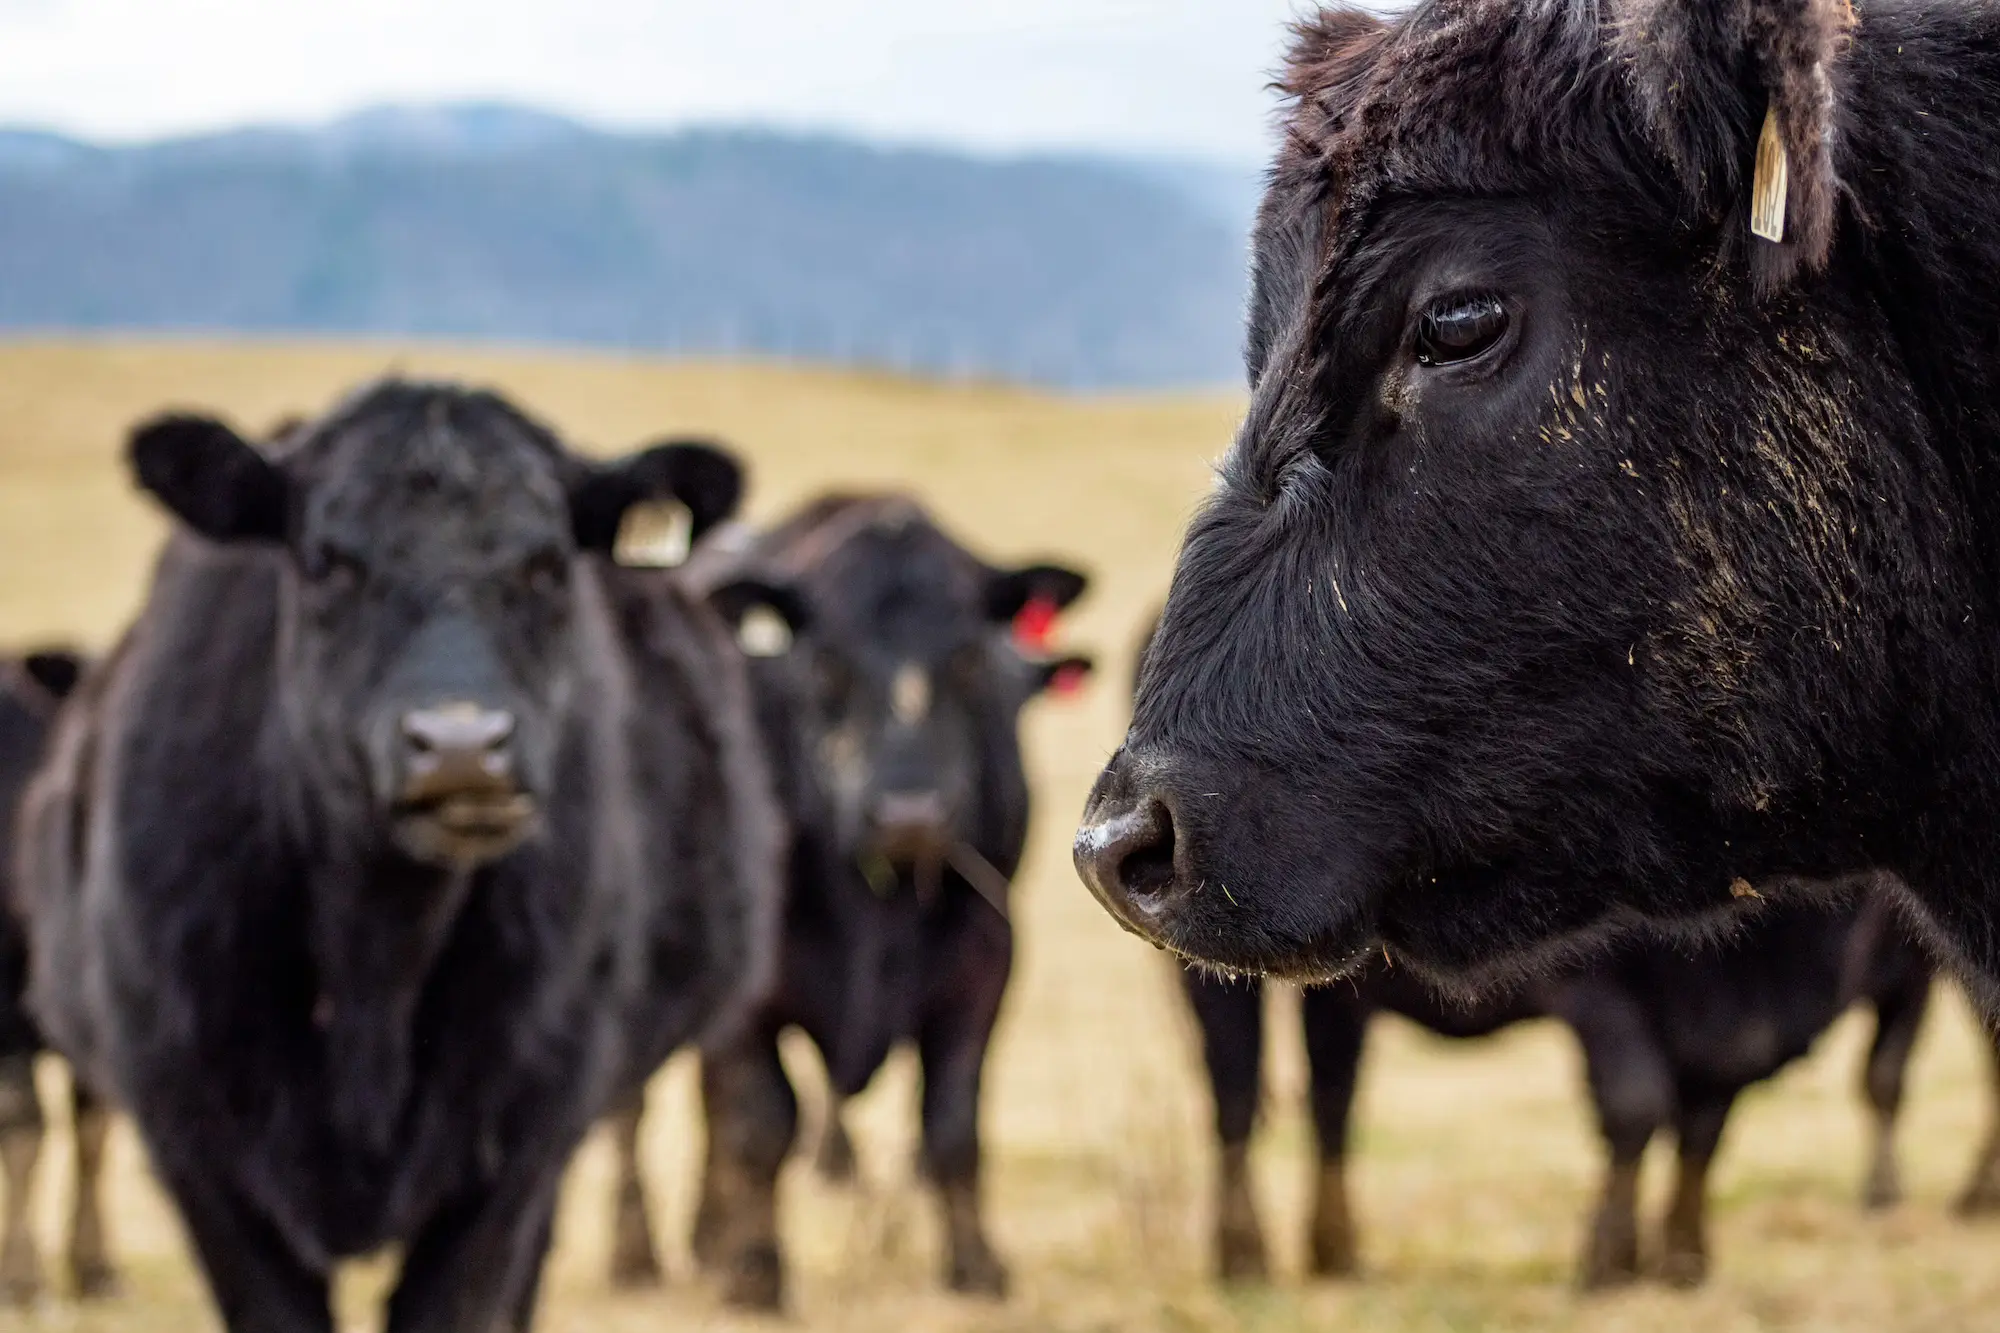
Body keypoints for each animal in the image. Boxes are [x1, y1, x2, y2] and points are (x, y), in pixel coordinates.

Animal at [13, 382, 780, 1328]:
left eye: (546, 565)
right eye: (326, 561)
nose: (461, 747)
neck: (373, 964)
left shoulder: (515, 1154)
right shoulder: (201, 1154)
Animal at [600, 492, 1088, 1304]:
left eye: (966, 658)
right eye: (827, 660)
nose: (909, 812)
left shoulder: (985, 961)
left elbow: (952, 1125)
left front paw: (976, 1264)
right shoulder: (749, 996)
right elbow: (762, 1122)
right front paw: (754, 1271)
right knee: (631, 1109)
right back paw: (636, 1253)